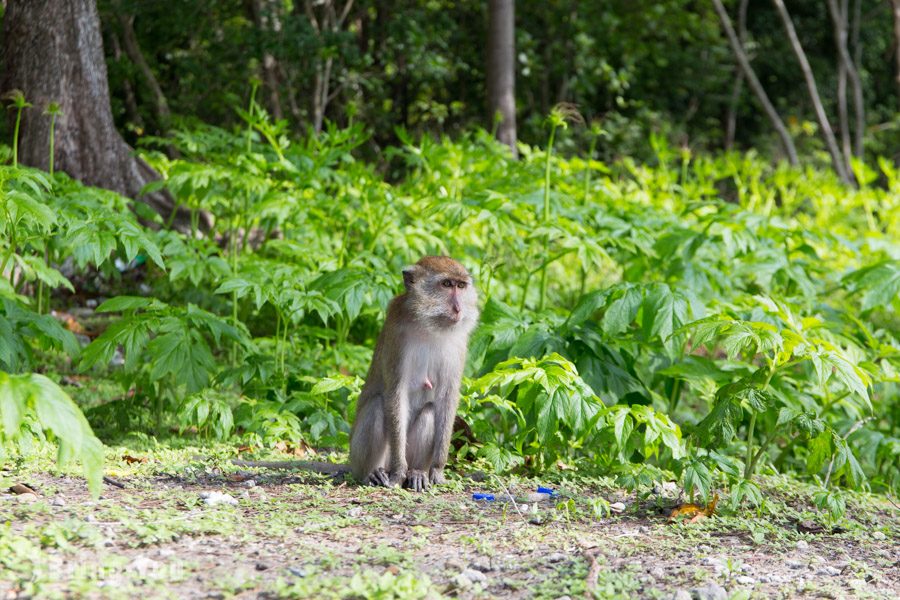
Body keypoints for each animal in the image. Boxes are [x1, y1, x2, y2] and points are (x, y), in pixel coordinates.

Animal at [348, 255, 482, 490]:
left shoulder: (458, 343)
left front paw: (437, 470)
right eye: (446, 284)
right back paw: (373, 474)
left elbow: (447, 397)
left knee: (429, 412)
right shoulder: (397, 336)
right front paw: (399, 471)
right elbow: (396, 393)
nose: (458, 309)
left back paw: (417, 472)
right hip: (359, 456)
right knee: (376, 406)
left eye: (461, 286)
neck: (429, 326)